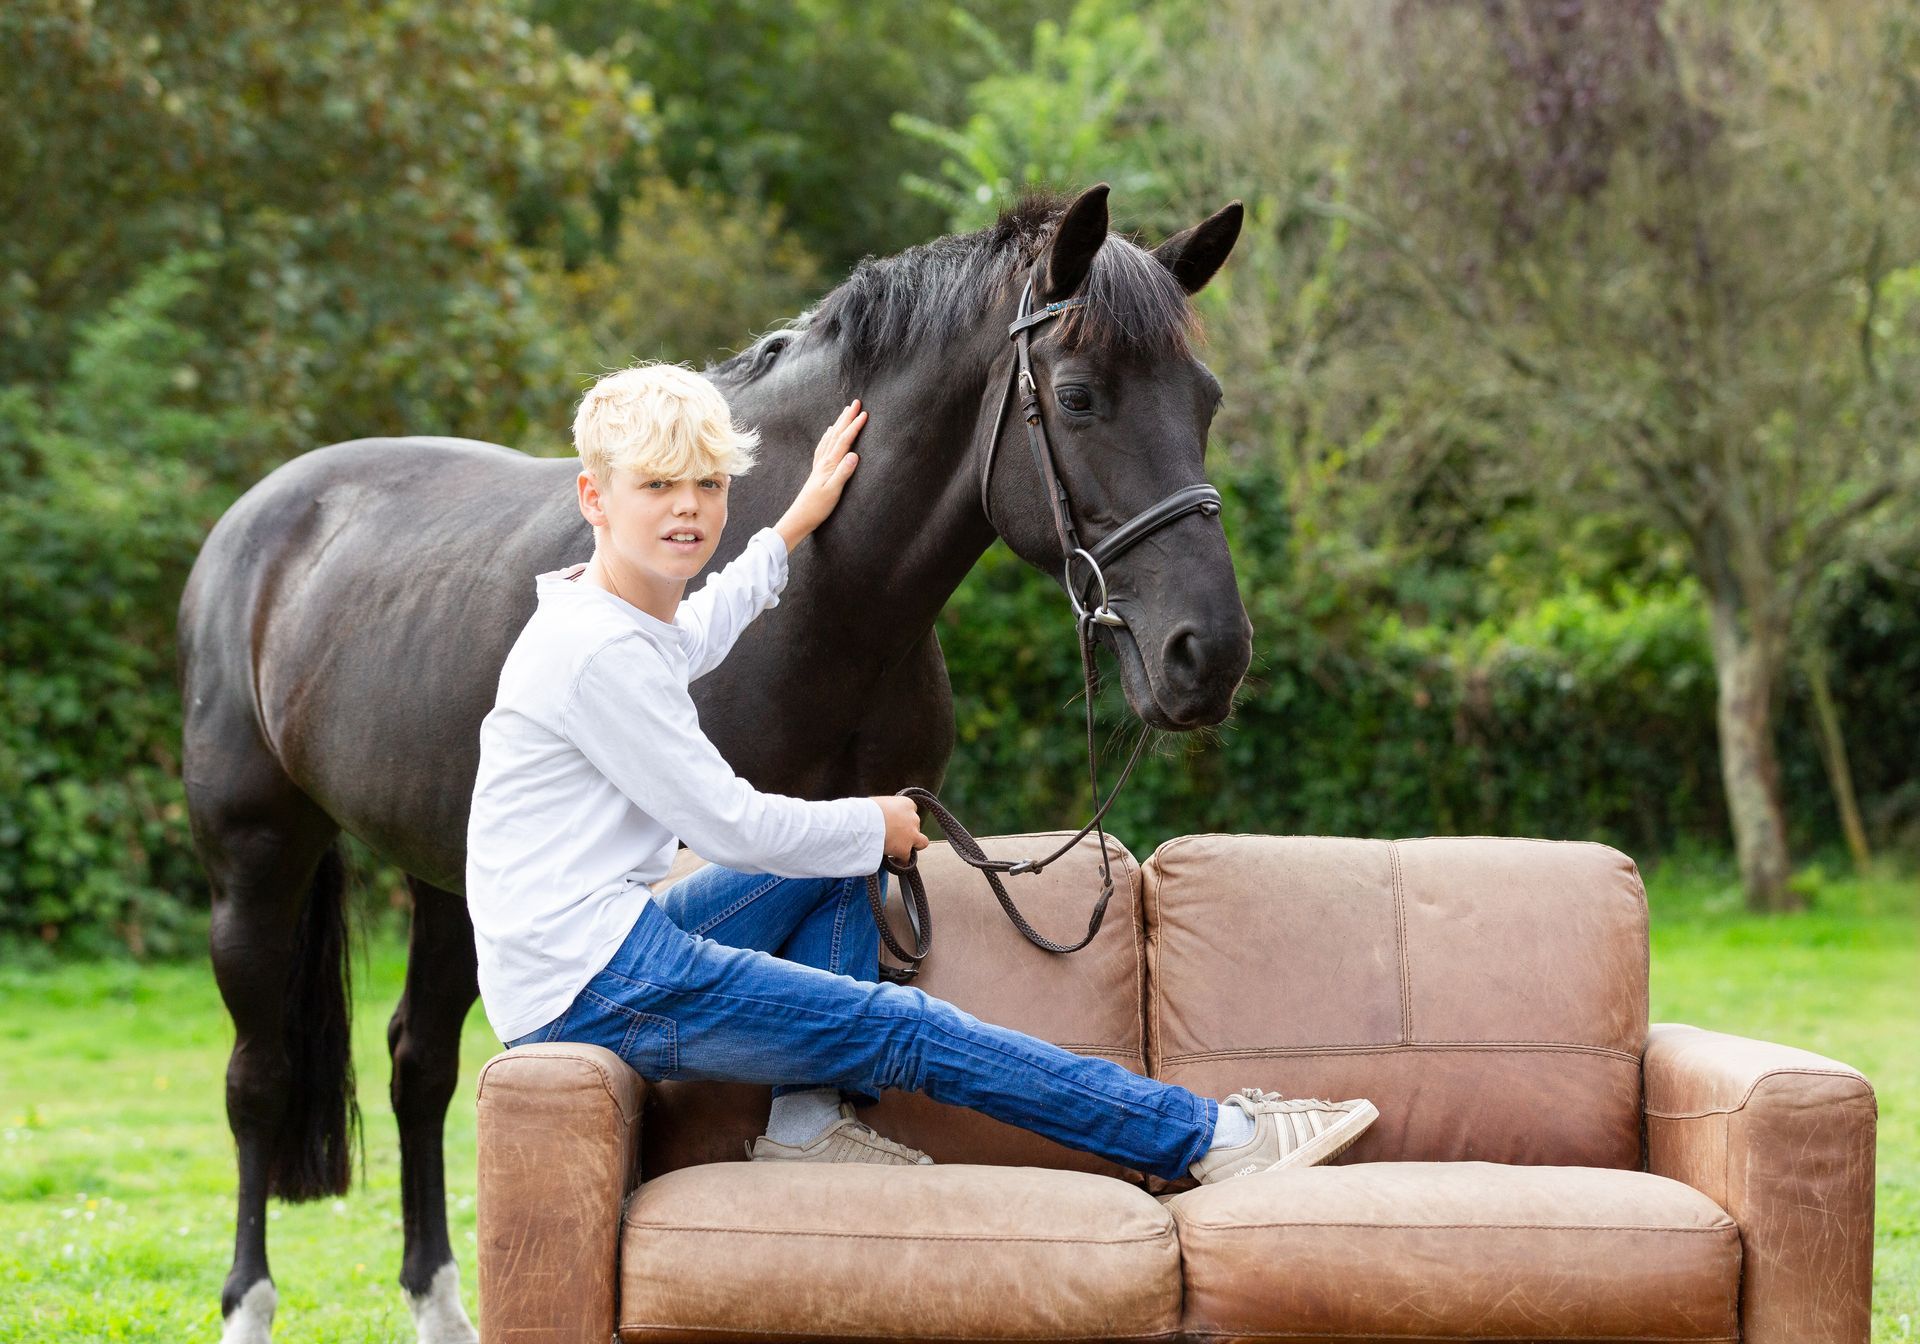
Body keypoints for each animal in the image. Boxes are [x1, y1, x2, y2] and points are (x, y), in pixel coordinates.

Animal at [177, 182, 1249, 1343]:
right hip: (257, 863)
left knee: (420, 1066)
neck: (829, 602)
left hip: (451, 879)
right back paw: (248, 1305)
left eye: (1205, 399)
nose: (1209, 654)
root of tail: (257, 519)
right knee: (258, 1080)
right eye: (1081, 395)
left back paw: (441, 1306)